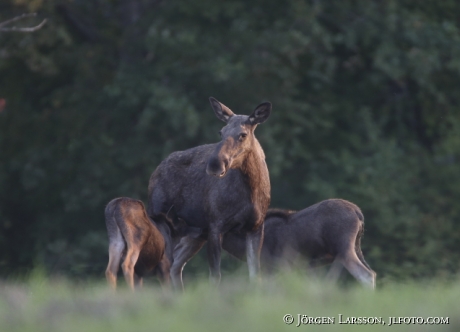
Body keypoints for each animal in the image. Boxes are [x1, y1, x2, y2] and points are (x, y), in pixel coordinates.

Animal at [147, 97, 272, 290]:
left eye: (243, 134)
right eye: (221, 132)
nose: (215, 164)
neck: (250, 190)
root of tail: (154, 172)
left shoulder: (256, 226)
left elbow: (255, 274)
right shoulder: (215, 224)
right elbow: (215, 276)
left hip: (194, 233)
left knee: (175, 265)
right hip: (161, 218)